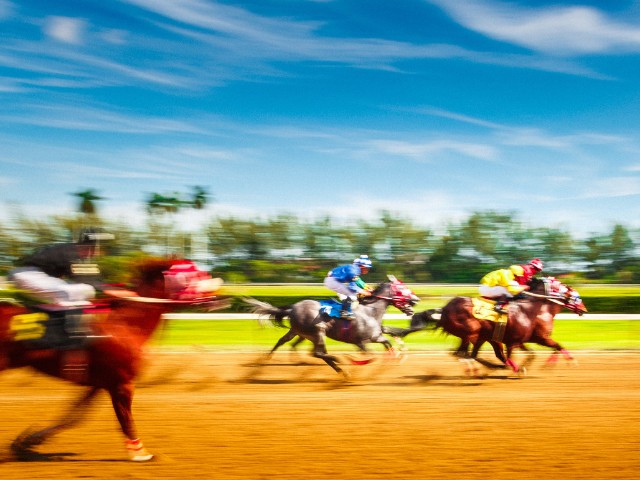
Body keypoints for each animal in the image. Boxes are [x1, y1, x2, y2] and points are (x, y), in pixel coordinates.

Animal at [0, 258, 225, 462]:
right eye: (194, 274)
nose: (219, 295)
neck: (126, 325)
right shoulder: (122, 383)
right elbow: (125, 418)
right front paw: (140, 452)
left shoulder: (99, 383)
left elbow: (74, 416)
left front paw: (27, 442)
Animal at [245, 278, 420, 376]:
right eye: (402, 289)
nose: (415, 300)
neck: (370, 311)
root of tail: (292, 308)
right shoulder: (361, 341)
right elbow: (372, 355)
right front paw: (355, 362)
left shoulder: (376, 337)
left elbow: (388, 344)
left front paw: (396, 358)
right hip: (318, 331)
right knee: (317, 353)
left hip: (300, 332)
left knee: (288, 343)